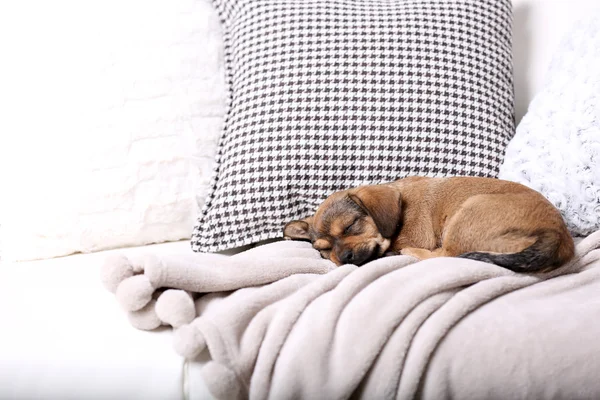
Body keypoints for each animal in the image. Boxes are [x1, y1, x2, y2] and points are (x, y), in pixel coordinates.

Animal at [284, 177, 576, 274]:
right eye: (323, 250)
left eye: (351, 226)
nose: (344, 258)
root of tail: (557, 235)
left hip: (465, 214)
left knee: (447, 255)